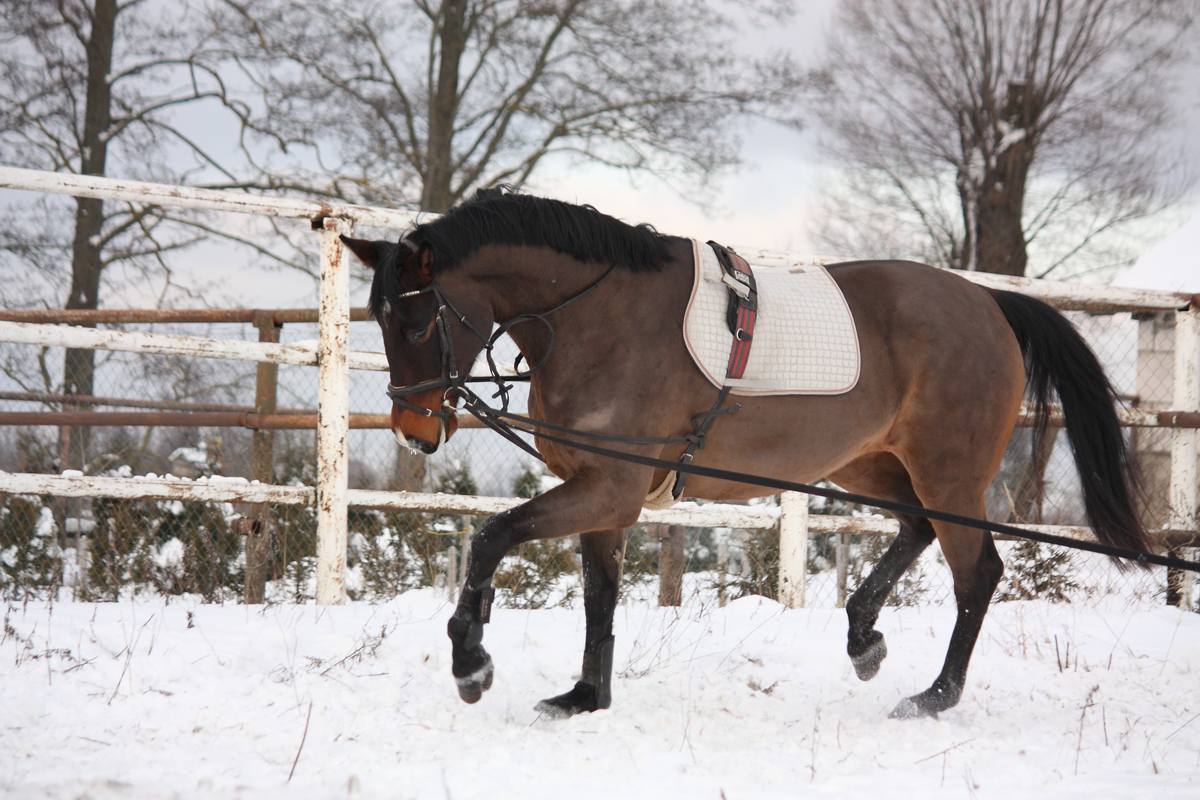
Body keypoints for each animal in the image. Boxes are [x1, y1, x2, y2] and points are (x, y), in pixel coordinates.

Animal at [340, 186, 1148, 720]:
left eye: (416, 319)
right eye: (380, 318)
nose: (413, 431)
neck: (595, 315)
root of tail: (988, 302)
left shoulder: (609, 487)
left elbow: (492, 535)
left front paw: (470, 661)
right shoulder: (602, 494)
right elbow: (599, 595)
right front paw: (585, 697)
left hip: (948, 474)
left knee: (977, 572)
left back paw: (934, 696)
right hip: (872, 462)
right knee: (916, 530)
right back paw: (864, 637)